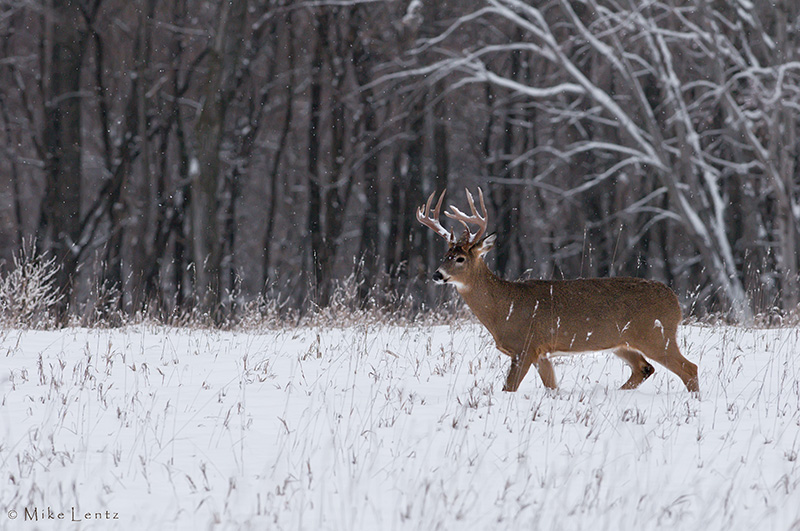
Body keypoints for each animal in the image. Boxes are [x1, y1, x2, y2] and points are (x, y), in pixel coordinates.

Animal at [418, 188, 700, 394]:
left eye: (460, 259)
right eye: (445, 255)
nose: (437, 275)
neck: (504, 308)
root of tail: (675, 301)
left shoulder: (525, 345)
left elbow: (509, 388)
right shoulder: (541, 352)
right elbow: (551, 385)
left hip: (656, 335)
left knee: (689, 368)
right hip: (623, 342)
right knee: (644, 369)